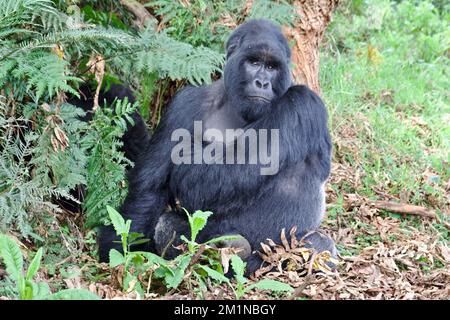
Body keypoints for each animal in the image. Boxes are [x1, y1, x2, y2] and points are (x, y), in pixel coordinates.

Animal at [99, 18, 338, 274]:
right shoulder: (184, 103)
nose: (262, 82)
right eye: (254, 62)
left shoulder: (303, 102)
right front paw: (121, 246)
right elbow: (151, 186)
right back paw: (228, 246)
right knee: (167, 225)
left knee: (318, 246)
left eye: (272, 67)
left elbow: (222, 171)